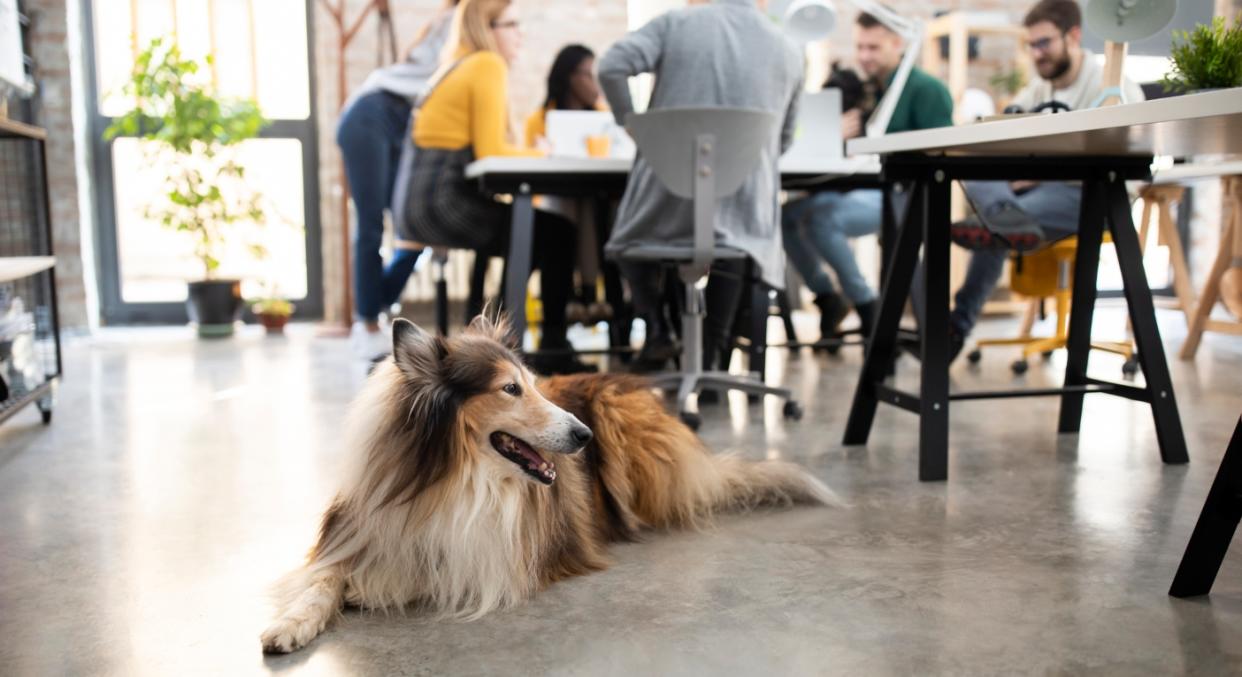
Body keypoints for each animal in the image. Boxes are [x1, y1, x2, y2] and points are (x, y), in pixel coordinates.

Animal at [259, 314, 834, 650]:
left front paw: (372, 586)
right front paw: (292, 623)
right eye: (510, 389)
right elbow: (322, 580)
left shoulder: (492, 554)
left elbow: (424, 568)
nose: (583, 437)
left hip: (621, 421)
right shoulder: (358, 530)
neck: (453, 481)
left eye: (533, 384)